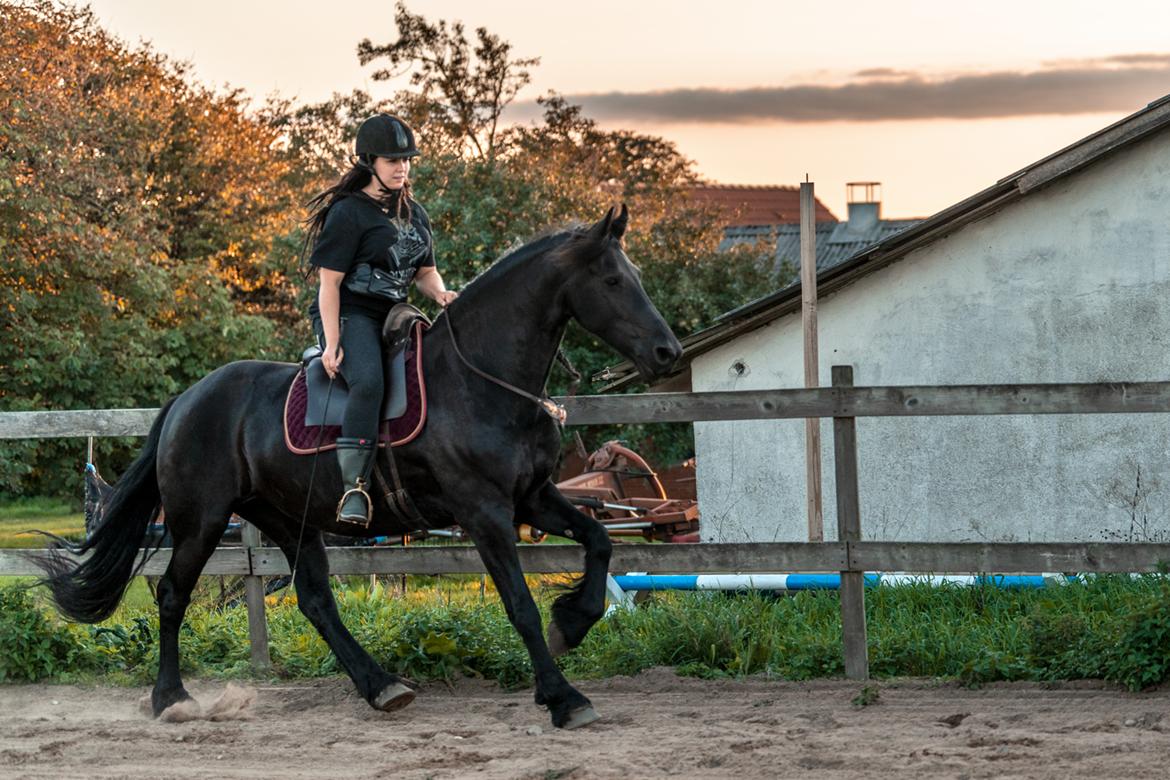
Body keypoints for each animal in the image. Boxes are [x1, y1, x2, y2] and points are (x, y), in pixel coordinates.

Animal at [38, 204, 683, 729]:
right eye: (612, 280)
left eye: (637, 277)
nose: (667, 353)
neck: (477, 380)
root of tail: (187, 399)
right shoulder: (484, 512)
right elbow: (519, 605)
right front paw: (562, 696)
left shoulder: (532, 497)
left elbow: (599, 540)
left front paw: (572, 621)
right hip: (200, 522)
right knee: (174, 595)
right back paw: (170, 698)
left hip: (288, 520)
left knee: (315, 601)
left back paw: (380, 686)